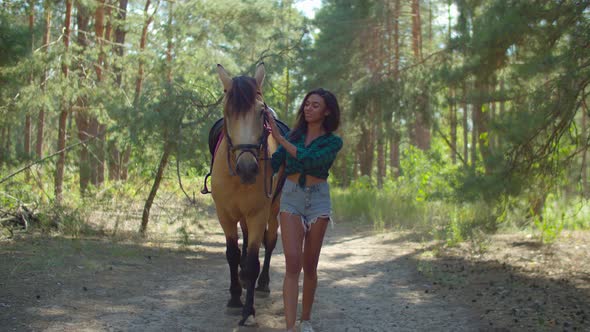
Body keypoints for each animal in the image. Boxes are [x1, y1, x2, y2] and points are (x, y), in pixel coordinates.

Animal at [212, 63, 286, 326]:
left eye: (261, 111)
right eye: (227, 111)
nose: (247, 168)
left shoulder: (258, 214)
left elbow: (254, 259)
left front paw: (248, 311)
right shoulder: (224, 214)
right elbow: (232, 253)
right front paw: (235, 298)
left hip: (273, 210)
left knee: (270, 241)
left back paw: (262, 284)